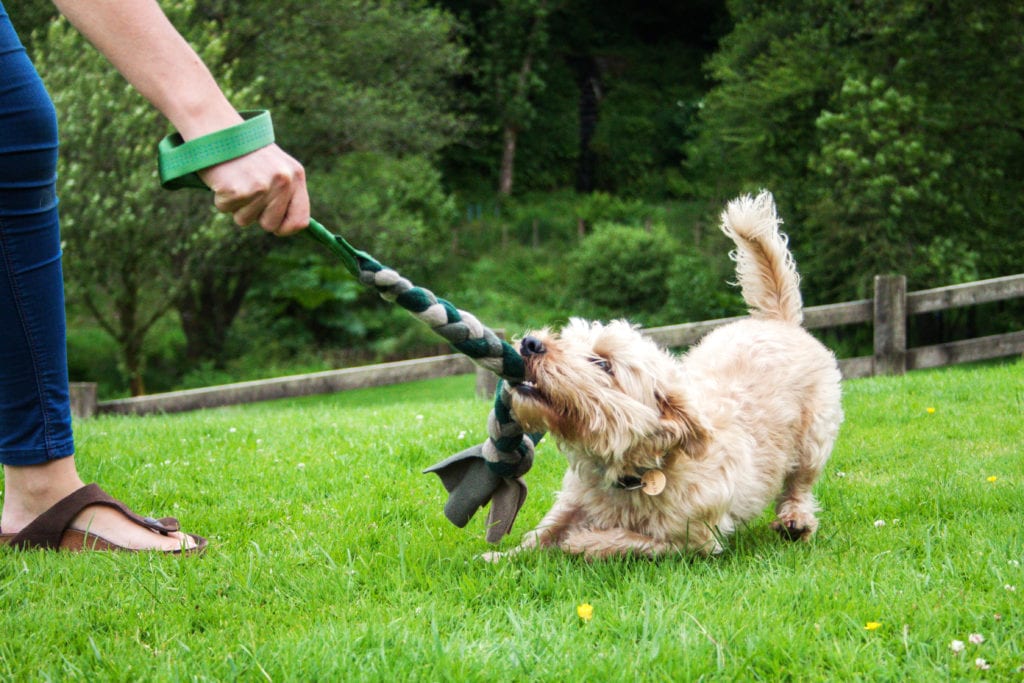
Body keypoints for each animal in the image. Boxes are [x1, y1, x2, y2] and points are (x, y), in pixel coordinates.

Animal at [491, 189, 843, 557]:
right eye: (566, 338)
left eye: (603, 363)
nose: (530, 343)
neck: (634, 468)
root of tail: (777, 321)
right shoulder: (574, 498)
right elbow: (542, 532)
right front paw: (498, 556)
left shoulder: (692, 540)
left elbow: (622, 540)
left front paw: (580, 542)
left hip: (814, 439)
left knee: (799, 484)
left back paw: (796, 520)